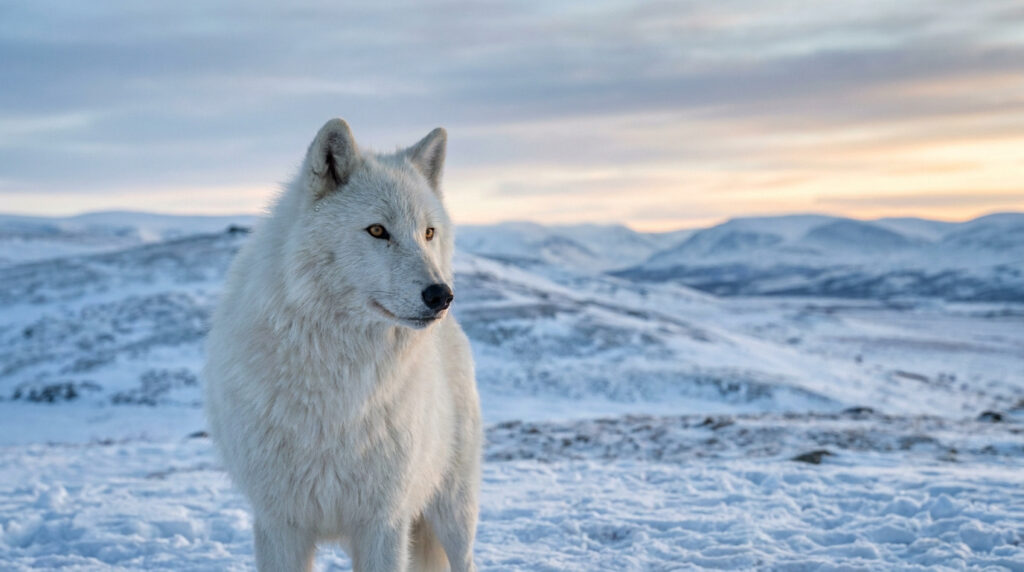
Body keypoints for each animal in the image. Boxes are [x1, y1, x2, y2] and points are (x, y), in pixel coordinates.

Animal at [204, 118, 482, 572]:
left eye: (428, 232)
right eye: (377, 230)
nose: (441, 295)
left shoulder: (384, 524)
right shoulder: (280, 524)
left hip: (454, 515)